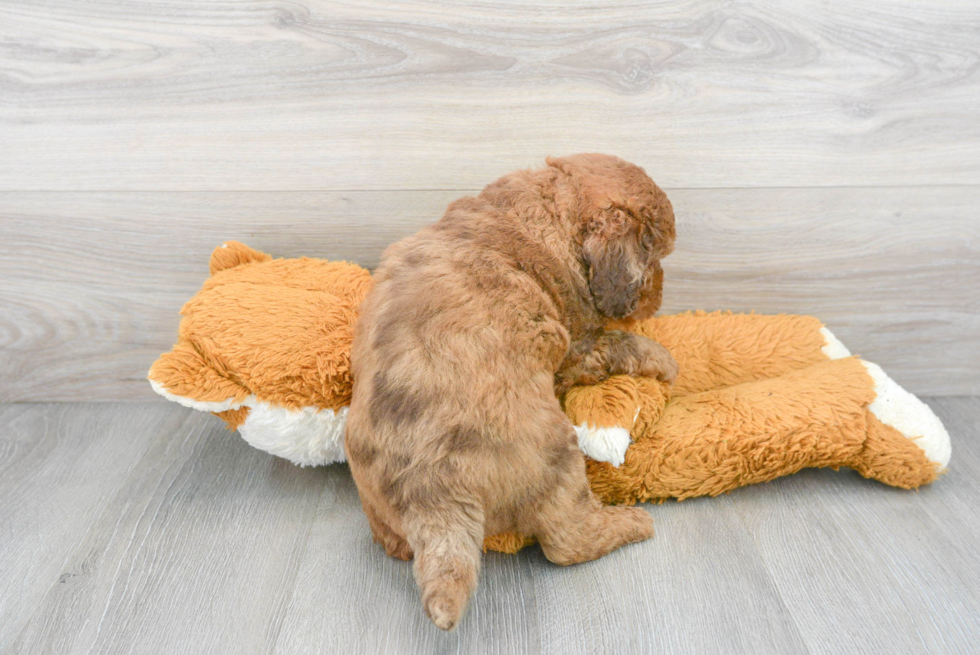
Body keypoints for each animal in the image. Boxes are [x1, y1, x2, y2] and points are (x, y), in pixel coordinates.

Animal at [348, 154, 676, 632]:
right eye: (654, 256)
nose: (658, 298)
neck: (543, 209)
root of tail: (432, 492)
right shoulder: (575, 349)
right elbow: (617, 342)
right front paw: (664, 359)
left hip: (378, 504)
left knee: (395, 545)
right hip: (558, 457)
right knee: (567, 542)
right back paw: (630, 523)